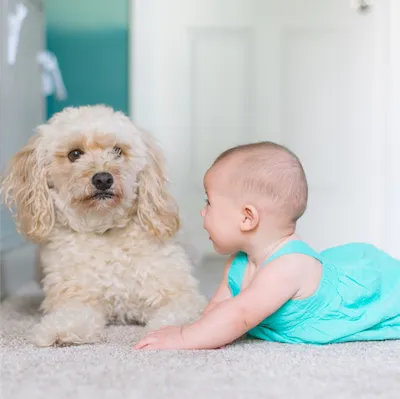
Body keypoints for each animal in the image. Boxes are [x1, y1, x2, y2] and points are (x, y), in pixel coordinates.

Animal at [0, 104, 206, 348]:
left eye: (117, 151)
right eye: (74, 154)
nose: (103, 179)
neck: (104, 230)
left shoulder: (181, 294)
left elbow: (176, 314)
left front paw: (168, 332)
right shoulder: (76, 298)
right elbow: (72, 315)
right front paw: (60, 331)